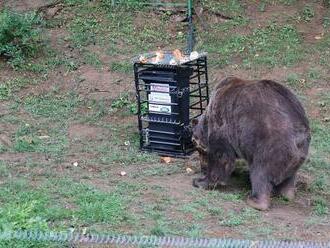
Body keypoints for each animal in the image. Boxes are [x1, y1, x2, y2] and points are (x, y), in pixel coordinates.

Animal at [192, 76, 310, 210]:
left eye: (197, 148)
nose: (202, 168)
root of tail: (299, 134)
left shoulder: (222, 123)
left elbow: (220, 156)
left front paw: (201, 181)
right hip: (298, 156)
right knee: (289, 178)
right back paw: (286, 194)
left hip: (270, 145)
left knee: (260, 172)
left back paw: (255, 200)